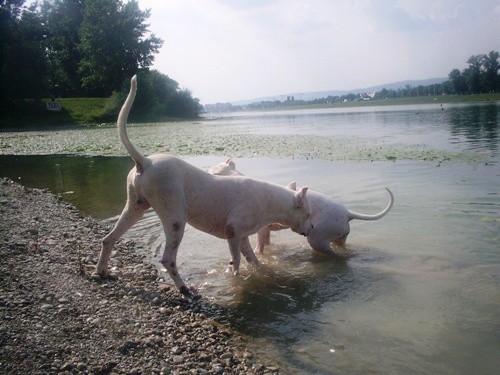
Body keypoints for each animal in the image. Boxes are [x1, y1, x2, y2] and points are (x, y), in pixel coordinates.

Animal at [94, 75, 312, 294]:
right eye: (309, 213)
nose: (311, 229)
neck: (269, 200)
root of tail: (145, 162)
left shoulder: (242, 237)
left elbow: (253, 259)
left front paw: (263, 272)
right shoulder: (233, 231)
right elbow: (237, 261)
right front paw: (236, 278)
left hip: (135, 208)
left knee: (108, 239)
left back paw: (102, 271)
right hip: (175, 220)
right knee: (168, 259)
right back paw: (184, 288)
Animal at [208, 160, 394, 258]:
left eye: (212, 172)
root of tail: (347, 213)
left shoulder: (262, 228)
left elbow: (260, 245)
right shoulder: (266, 230)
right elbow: (266, 242)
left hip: (317, 238)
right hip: (339, 237)